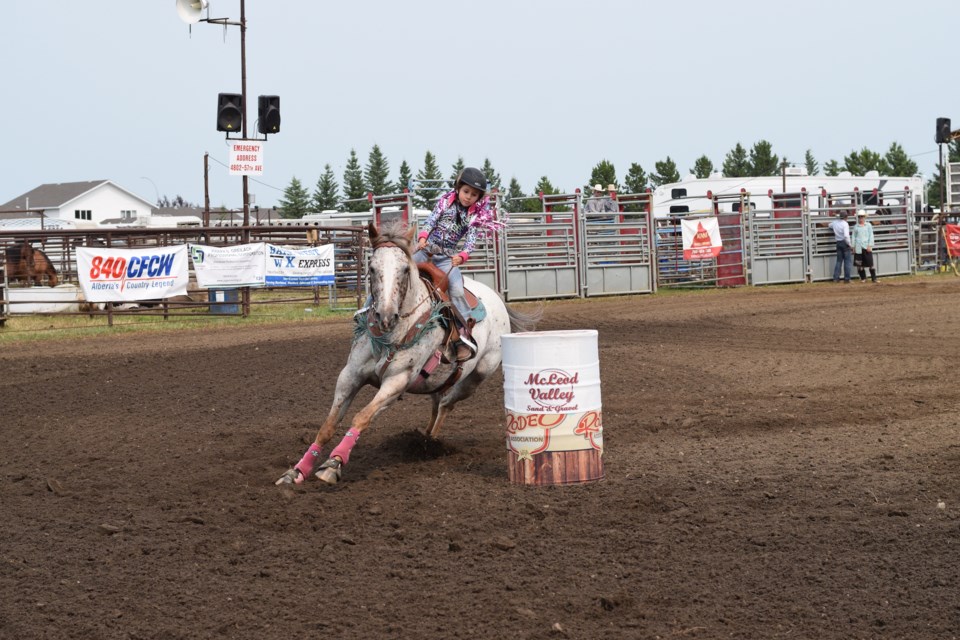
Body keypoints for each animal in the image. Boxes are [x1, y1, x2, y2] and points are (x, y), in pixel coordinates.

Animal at [278, 220, 540, 484]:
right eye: (371, 267)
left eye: (405, 270)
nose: (386, 316)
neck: (390, 336)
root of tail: (498, 298)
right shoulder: (349, 375)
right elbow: (328, 425)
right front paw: (297, 471)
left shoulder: (396, 382)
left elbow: (362, 417)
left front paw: (333, 463)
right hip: (439, 379)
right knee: (438, 402)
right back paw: (425, 439)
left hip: (479, 374)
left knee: (447, 404)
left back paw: (430, 443)